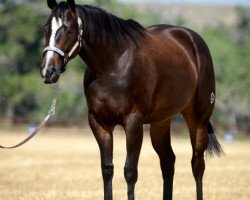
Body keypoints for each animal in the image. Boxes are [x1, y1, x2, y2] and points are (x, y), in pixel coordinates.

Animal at [40, 0, 223, 199]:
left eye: (69, 29)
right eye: (46, 28)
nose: (48, 71)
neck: (112, 66)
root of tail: (193, 40)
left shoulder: (133, 122)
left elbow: (130, 171)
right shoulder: (99, 123)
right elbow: (107, 169)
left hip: (198, 120)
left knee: (197, 165)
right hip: (161, 122)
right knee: (168, 161)